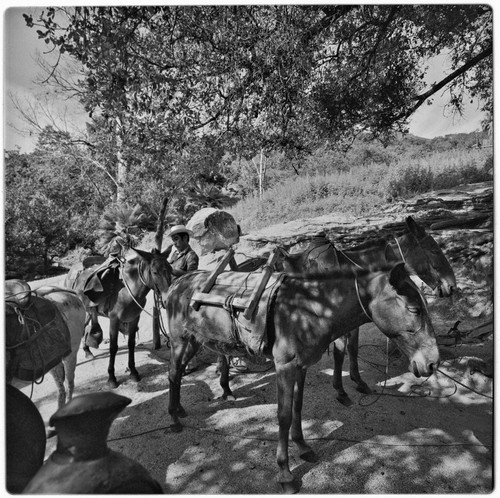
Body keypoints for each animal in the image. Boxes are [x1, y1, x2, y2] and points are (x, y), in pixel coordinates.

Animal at [64, 249, 174, 390]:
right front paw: (112, 378)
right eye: (155, 272)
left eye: (170, 269)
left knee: (84, 329)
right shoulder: (114, 320)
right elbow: (113, 347)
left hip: (87, 312)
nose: (167, 299)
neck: (128, 289)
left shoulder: (134, 318)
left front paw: (133, 372)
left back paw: (87, 351)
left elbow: (131, 343)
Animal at [163, 262, 438, 492]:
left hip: (194, 340)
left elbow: (298, 406)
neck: (311, 310)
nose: (432, 363)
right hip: (179, 341)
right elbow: (284, 416)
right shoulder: (285, 367)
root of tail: (178, 282)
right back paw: (174, 418)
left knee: (181, 373)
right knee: (173, 374)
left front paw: (303, 446)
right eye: (413, 309)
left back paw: (185, 408)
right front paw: (285, 473)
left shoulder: (301, 366)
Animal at [238, 216, 458, 406]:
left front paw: (358, 382)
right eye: (434, 250)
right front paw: (341, 391)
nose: (451, 287)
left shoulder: (352, 321)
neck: (354, 272)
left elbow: (352, 349)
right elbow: (340, 354)